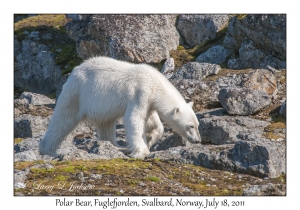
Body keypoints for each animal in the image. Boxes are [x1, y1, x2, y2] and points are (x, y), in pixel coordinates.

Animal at [38, 56, 200, 158]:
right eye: (190, 126)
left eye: (197, 125)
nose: (198, 140)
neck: (155, 83)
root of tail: (75, 71)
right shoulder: (140, 92)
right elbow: (133, 119)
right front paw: (142, 151)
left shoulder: (149, 100)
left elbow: (152, 121)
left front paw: (150, 138)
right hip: (77, 93)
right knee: (63, 119)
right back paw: (49, 150)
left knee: (106, 123)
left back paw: (117, 146)